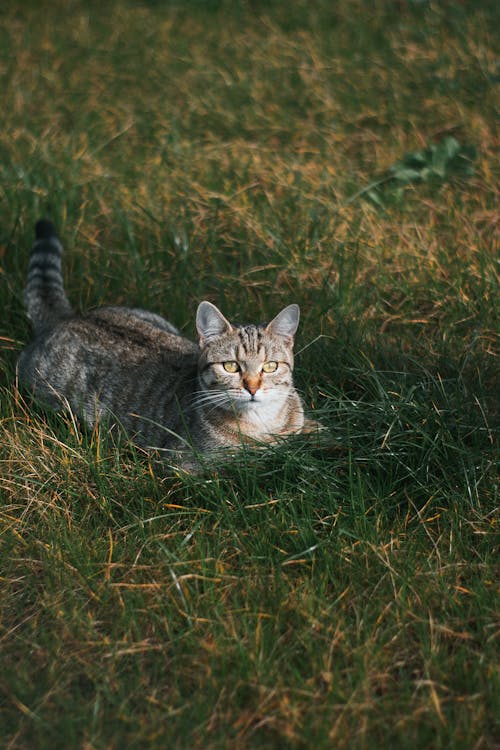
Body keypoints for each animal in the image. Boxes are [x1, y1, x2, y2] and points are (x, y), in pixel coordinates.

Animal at [18, 220, 316, 472]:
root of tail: (68, 317)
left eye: (270, 366)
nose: (252, 388)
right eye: (231, 366)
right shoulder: (188, 465)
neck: (263, 424)